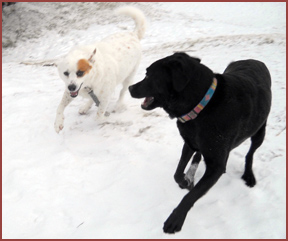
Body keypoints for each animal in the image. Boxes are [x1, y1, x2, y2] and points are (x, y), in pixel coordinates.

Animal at [54, 6, 146, 134]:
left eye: (80, 73)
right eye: (65, 73)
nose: (71, 87)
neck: (90, 81)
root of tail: (133, 34)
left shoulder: (105, 96)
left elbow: (99, 115)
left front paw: (104, 119)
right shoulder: (70, 92)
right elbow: (60, 106)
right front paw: (58, 123)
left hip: (129, 76)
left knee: (122, 92)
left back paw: (118, 104)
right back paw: (85, 107)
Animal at [129, 52, 272, 233]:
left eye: (149, 75)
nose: (130, 88)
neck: (202, 107)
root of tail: (254, 60)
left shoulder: (215, 166)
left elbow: (191, 196)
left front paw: (175, 219)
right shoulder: (189, 142)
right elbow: (177, 173)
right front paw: (186, 181)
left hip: (259, 130)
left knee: (250, 153)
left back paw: (248, 175)